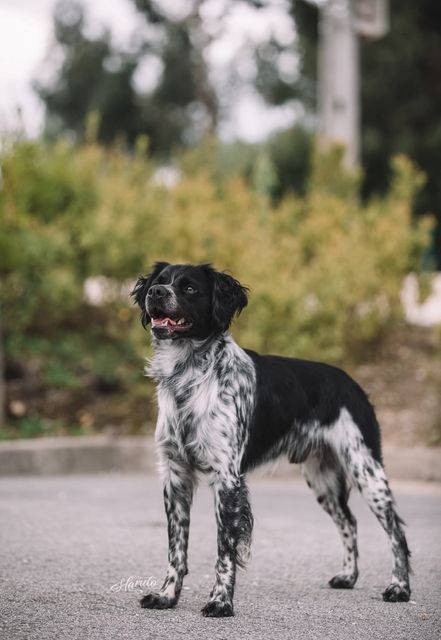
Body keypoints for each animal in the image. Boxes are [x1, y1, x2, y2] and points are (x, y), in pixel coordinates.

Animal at [131, 261, 411, 617]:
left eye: (189, 288)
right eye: (159, 281)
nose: (155, 293)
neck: (189, 377)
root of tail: (352, 384)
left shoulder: (227, 478)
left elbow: (224, 550)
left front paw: (220, 602)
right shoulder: (175, 475)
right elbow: (176, 549)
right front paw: (166, 596)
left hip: (366, 470)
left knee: (396, 531)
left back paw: (400, 588)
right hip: (323, 479)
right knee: (350, 523)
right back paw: (348, 576)